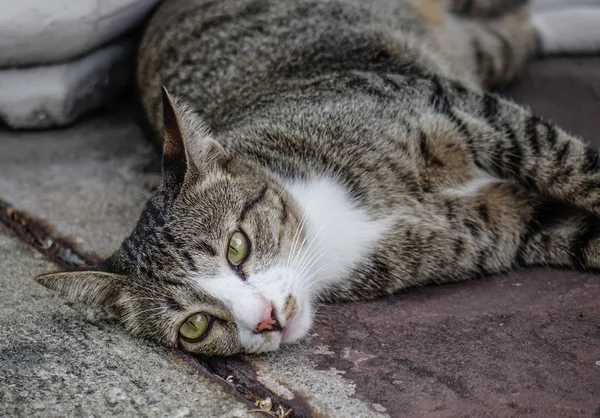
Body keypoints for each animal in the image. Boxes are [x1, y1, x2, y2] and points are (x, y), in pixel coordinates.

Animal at [36, 0, 600, 356]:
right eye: (196, 325)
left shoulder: (462, 110)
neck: (330, 228)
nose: (265, 318)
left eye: (237, 247)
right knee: (515, 31)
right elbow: (576, 234)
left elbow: (573, 165)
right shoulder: (505, 225)